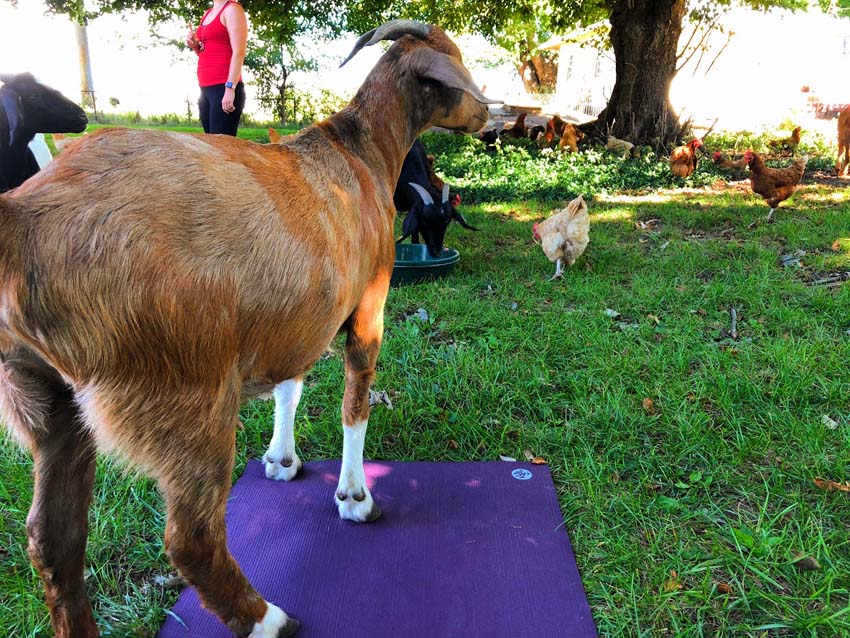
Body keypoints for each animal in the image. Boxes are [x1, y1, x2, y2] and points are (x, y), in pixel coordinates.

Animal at [0, 20, 490, 638]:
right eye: (456, 62)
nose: (487, 114)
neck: (361, 151)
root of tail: (24, 222)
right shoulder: (368, 306)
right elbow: (355, 403)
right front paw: (355, 496)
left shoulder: (299, 314)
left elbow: (290, 386)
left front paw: (282, 459)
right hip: (186, 392)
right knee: (191, 539)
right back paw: (267, 619)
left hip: (46, 402)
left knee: (53, 543)